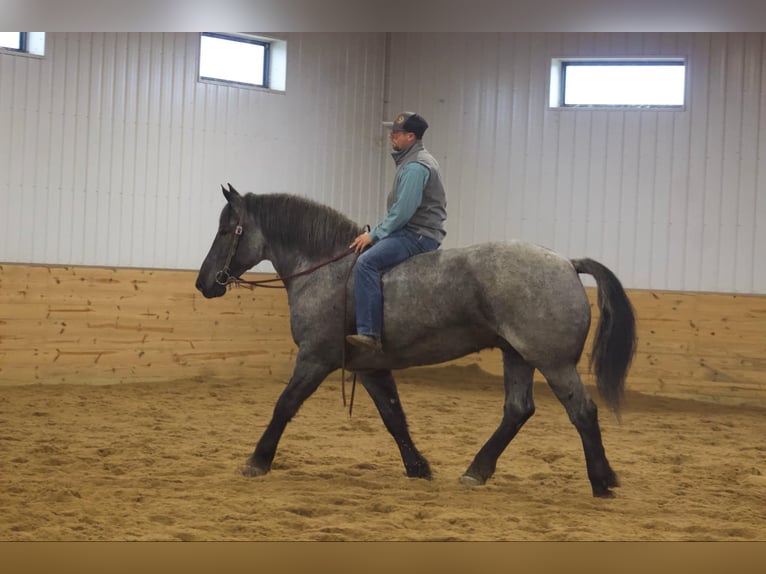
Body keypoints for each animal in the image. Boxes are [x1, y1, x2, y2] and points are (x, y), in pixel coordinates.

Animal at [195, 184, 640, 500]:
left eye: (226, 230)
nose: (203, 283)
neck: (327, 269)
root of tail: (567, 262)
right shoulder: (368, 367)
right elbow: (393, 415)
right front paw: (418, 467)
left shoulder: (315, 358)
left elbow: (285, 405)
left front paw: (258, 460)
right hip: (517, 355)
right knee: (517, 410)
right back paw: (477, 471)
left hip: (553, 362)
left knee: (582, 412)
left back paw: (601, 481)